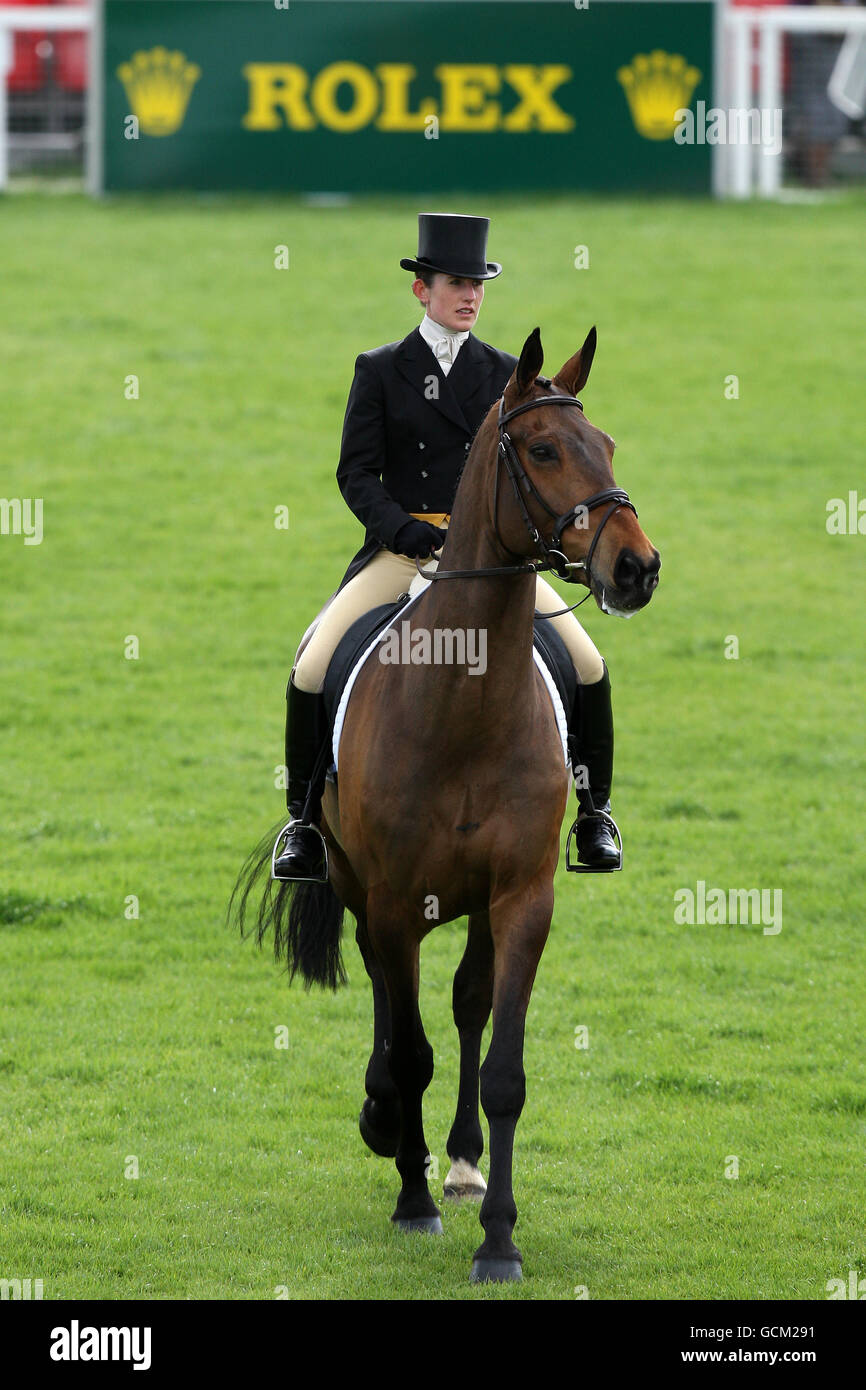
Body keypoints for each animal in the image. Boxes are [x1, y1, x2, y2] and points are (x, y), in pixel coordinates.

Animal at [230, 326, 660, 1283]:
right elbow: (413, 1050)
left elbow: (502, 1067)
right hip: (369, 890)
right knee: (392, 1004)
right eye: (543, 451)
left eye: (608, 444)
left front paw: (498, 1238)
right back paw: (389, 1126)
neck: (465, 701)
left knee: (465, 1001)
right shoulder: (395, 899)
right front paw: (410, 1195)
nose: (637, 568)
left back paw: (458, 1162)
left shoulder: (524, 896)